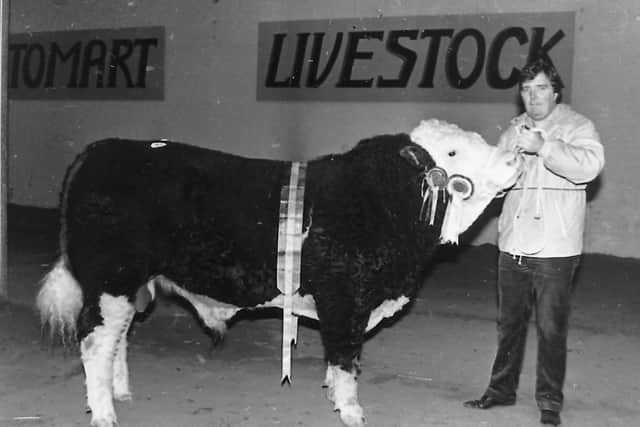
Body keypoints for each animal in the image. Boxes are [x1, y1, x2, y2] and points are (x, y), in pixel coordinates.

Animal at [35, 118, 524, 426]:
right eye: (454, 152)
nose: (514, 158)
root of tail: (101, 149)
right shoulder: (345, 298)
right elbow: (346, 355)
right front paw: (350, 410)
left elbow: (339, 356)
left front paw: (332, 393)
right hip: (110, 279)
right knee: (95, 341)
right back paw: (104, 413)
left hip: (127, 285)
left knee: (115, 338)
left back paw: (119, 391)